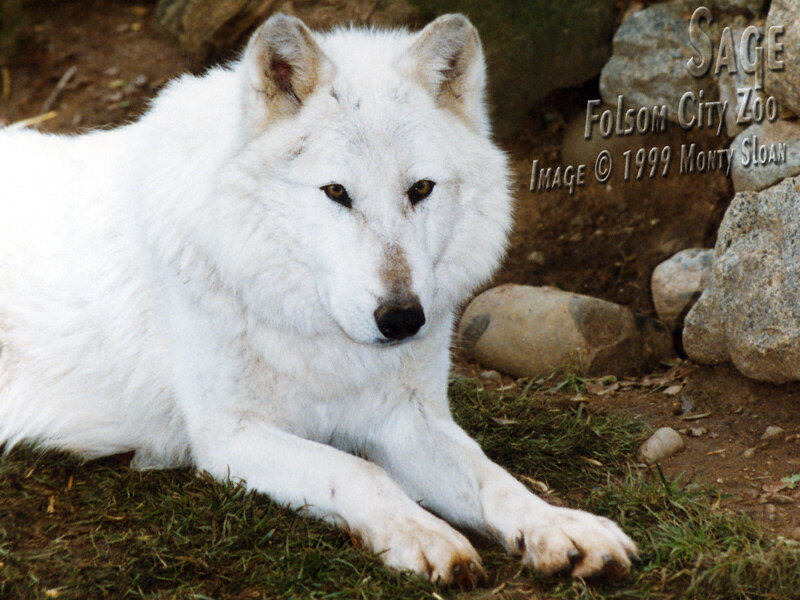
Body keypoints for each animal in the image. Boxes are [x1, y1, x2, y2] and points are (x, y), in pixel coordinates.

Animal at [0, 14, 637, 586]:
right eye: (336, 192)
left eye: (420, 189)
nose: (402, 319)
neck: (318, 337)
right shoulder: (228, 436)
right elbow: (356, 471)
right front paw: (425, 534)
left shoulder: (409, 418)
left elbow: (491, 476)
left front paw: (560, 526)